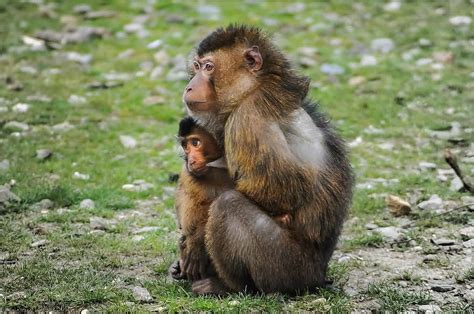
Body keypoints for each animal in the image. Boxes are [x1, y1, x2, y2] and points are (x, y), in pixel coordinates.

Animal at [183, 25, 354, 296]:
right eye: (197, 66)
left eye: (208, 67)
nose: (189, 86)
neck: (254, 88)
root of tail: (318, 275)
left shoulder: (248, 119)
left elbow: (283, 191)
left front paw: (196, 239)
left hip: (286, 266)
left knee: (228, 204)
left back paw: (228, 285)